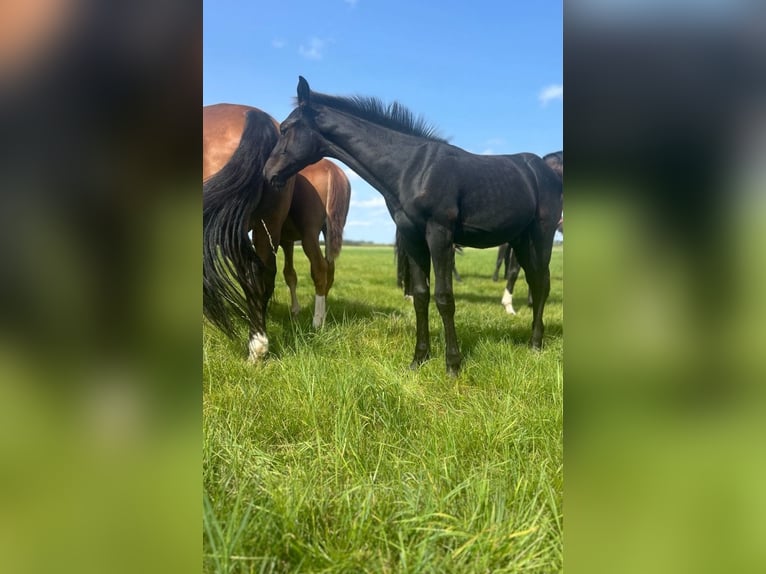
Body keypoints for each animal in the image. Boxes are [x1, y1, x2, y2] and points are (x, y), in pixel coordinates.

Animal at [201, 104, 352, 360]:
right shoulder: (284, 239)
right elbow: (288, 274)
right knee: (318, 269)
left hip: (296, 232)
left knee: (316, 269)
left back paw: (313, 323)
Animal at [266, 77, 564, 378]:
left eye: (285, 128)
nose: (268, 174)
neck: (411, 168)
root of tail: (545, 171)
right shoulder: (412, 237)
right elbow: (421, 295)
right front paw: (419, 358)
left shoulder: (439, 234)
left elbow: (444, 297)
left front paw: (452, 364)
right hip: (521, 239)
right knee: (534, 280)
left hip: (542, 235)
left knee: (542, 283)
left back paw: (535, 343)